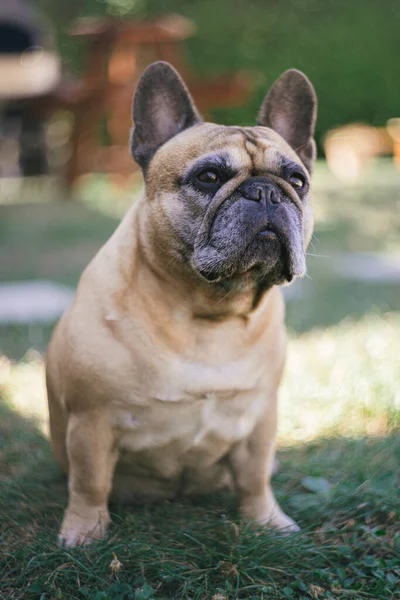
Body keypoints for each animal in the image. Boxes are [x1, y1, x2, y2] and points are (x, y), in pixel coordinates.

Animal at [46, 62, 316, 548]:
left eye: (298, 181)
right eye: (208, 177)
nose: (266, 192)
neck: (208, 312)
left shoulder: (260, 419)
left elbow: (255, 477)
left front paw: (268, 522)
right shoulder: (91, 423)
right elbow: (90, 482)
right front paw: (84, 533)